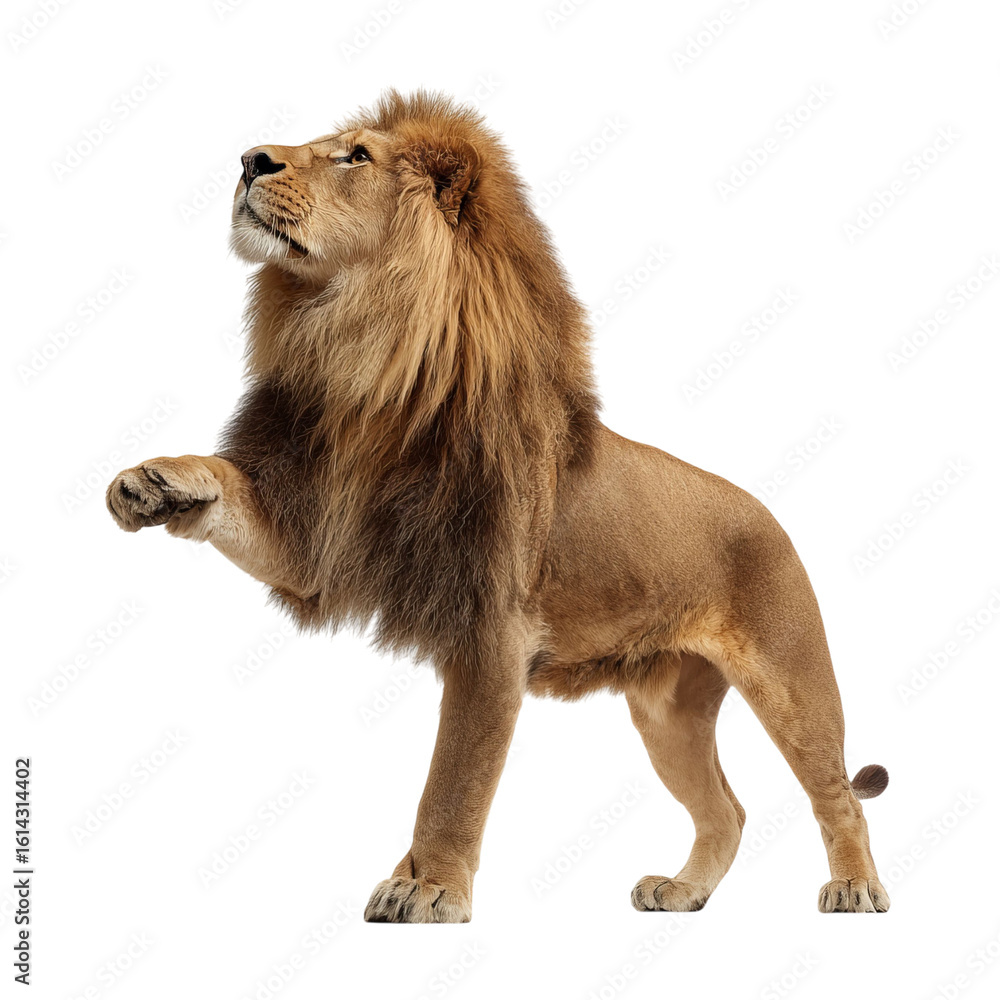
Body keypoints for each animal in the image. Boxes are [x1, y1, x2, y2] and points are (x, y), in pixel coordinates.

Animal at [106, 91, 890, 921]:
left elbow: (456, 778)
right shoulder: (318, 538)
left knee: (838, 795)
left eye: (356, 156)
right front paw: (156, 482)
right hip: (669, 711)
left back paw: (855, 887)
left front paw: (427, 886)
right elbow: (229, 485)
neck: (365, 359)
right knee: (726, 810)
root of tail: (767, 512)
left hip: (794, 682)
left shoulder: (493, 626)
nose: (250, 159)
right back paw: (683, 892)